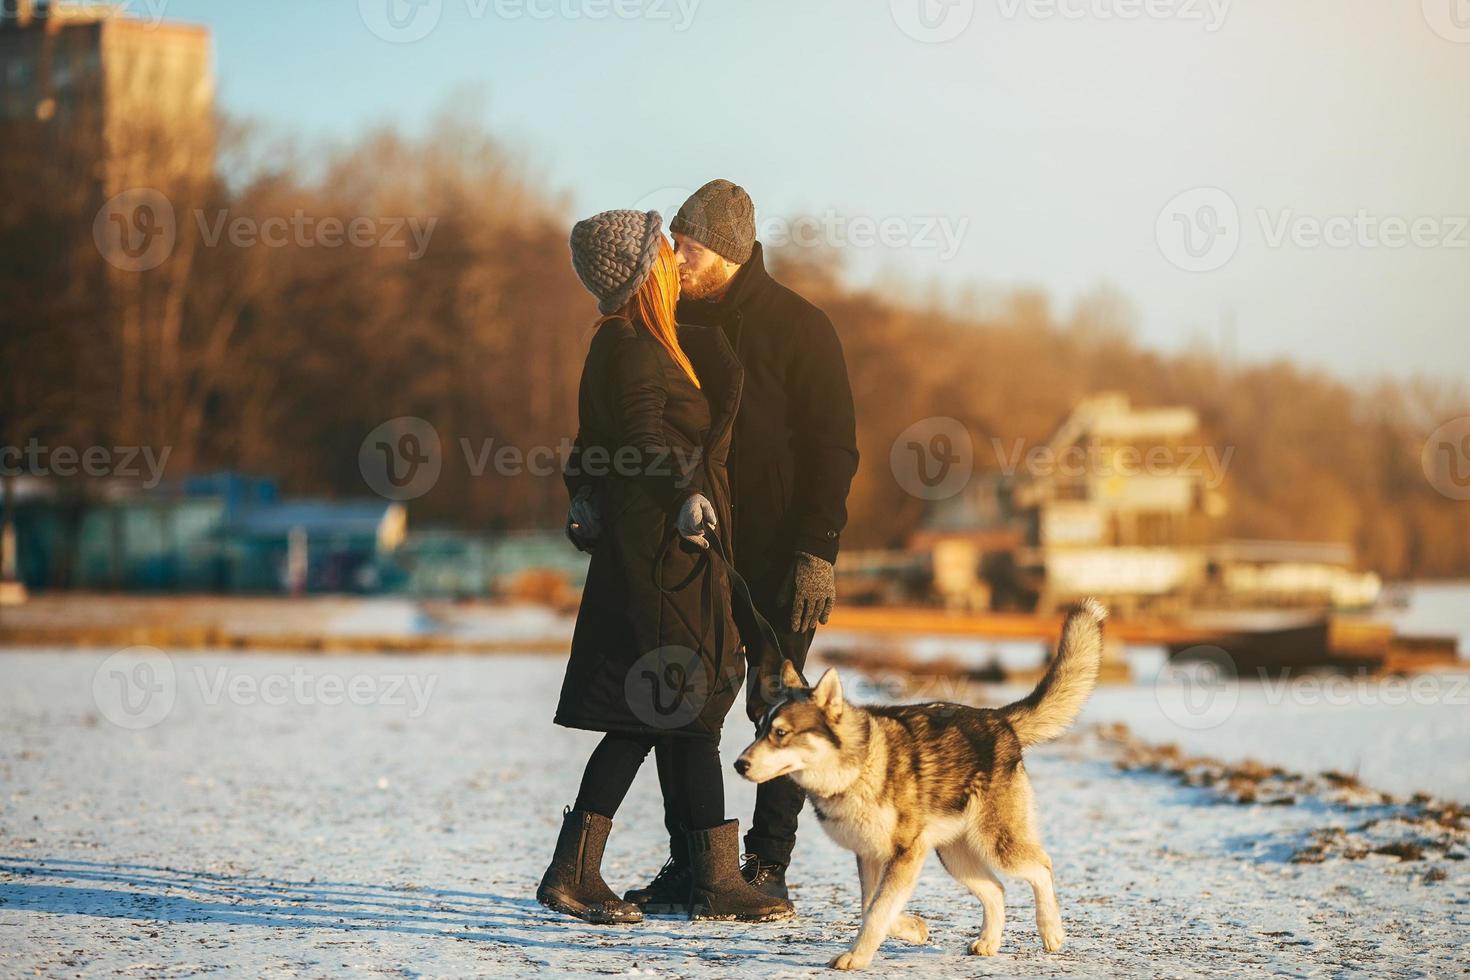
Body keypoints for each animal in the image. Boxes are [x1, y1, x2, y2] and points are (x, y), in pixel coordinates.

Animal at [735, 602, 1105, 969]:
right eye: (760, 729)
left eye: (781, 733)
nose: (739, 764)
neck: (859, 768)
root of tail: (997, 718)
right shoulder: (871, 855)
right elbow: (871, 905)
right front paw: (913, 928)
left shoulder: (905, 853)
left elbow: (877, 909)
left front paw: (857, 956)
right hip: (953, 854)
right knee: (996, 889)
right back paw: (988, 942)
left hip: (996, 843)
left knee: (1042, 867)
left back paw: (1051, 931)